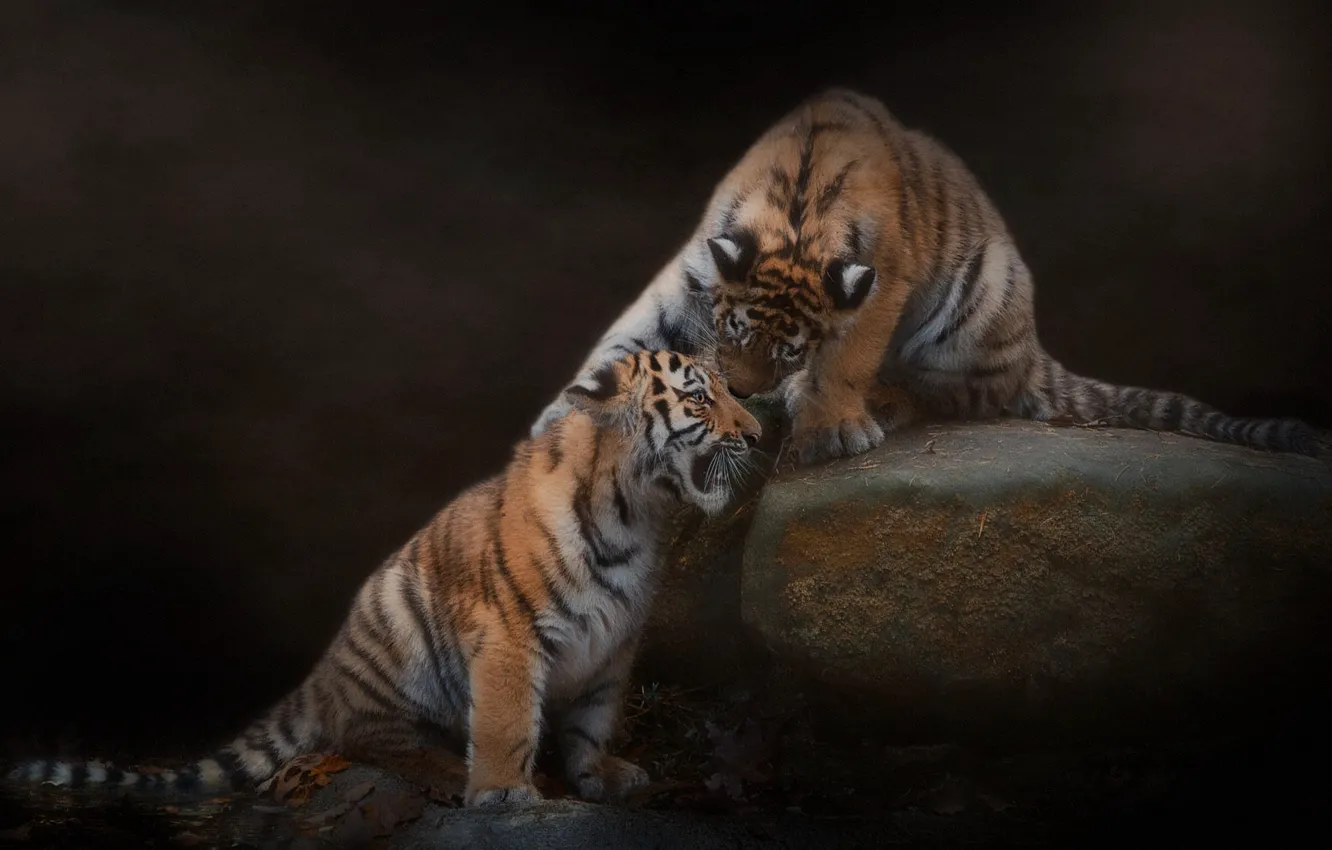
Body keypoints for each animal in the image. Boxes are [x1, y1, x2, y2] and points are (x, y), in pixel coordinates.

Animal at [7, 350, 761, 808]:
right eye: (699, 400)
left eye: (729, 391)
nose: (756, 432)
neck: (640, 515)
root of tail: (324, 672)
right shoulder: (510, 634)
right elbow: (507, 721)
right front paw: (505, 791)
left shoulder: (614, 642)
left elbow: (595, 719)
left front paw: (601, 774)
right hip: (396, 631)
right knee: (363, 737)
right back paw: (445, 771)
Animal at [532, 88, 1322, 464]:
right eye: (731, 334)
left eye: (790, 348)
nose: (749, 391)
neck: (796, 216)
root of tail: (1033, 350)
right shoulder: (693, 275)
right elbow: (631, 332)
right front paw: (564, 416)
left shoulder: (883, 285)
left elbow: (845, 360)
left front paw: (828, 427)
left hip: (981, 296)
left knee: (955, 395)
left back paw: (874, 403)